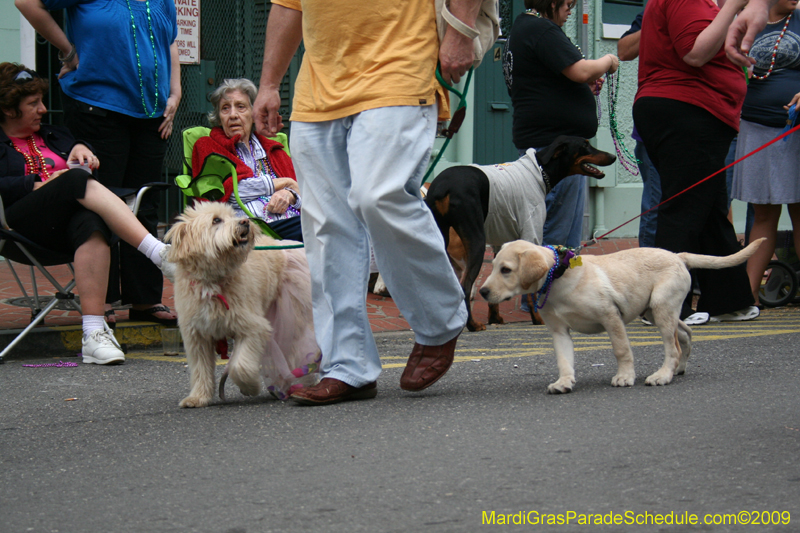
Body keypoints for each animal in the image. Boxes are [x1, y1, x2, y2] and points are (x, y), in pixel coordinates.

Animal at [165, 204, 318, 408]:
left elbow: (240, 366)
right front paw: (198, 397)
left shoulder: (252, 328)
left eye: (232, 215)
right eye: (216, 220)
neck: (212, 283)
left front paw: (250, 387)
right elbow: (200, 369)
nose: (245, 221)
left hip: (292, 319)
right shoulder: (197, 337)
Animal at [478, 239, 764, 392]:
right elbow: (564, 359)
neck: (557, 277)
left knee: (672, 346)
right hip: (655, 309)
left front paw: (625, 376)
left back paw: (663, 375)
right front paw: (565, 381)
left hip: (661, 307)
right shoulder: (559, 331)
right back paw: (679, 368)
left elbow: (621, 349)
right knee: (685, 332)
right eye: (493, 266)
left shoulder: (610, 316)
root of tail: (677, 255)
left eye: (506, 270)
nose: (482, 291)